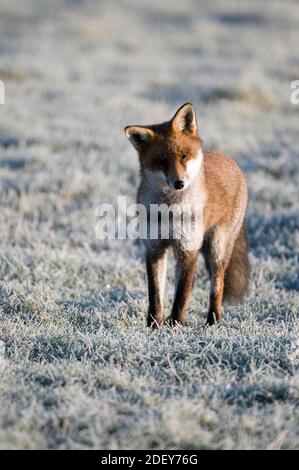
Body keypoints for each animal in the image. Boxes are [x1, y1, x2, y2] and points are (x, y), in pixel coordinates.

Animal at [125, 103, 251, 326]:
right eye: (161, 161)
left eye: (183, 155)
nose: (179, 183)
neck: (169, 210)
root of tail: (229, 160)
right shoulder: (155, 248)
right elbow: (155, 295)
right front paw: (154, 326)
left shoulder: (188, 248)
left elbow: (182, 295)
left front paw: (176, 325)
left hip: (217, 249)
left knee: (217, 285)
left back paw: (212, 321)